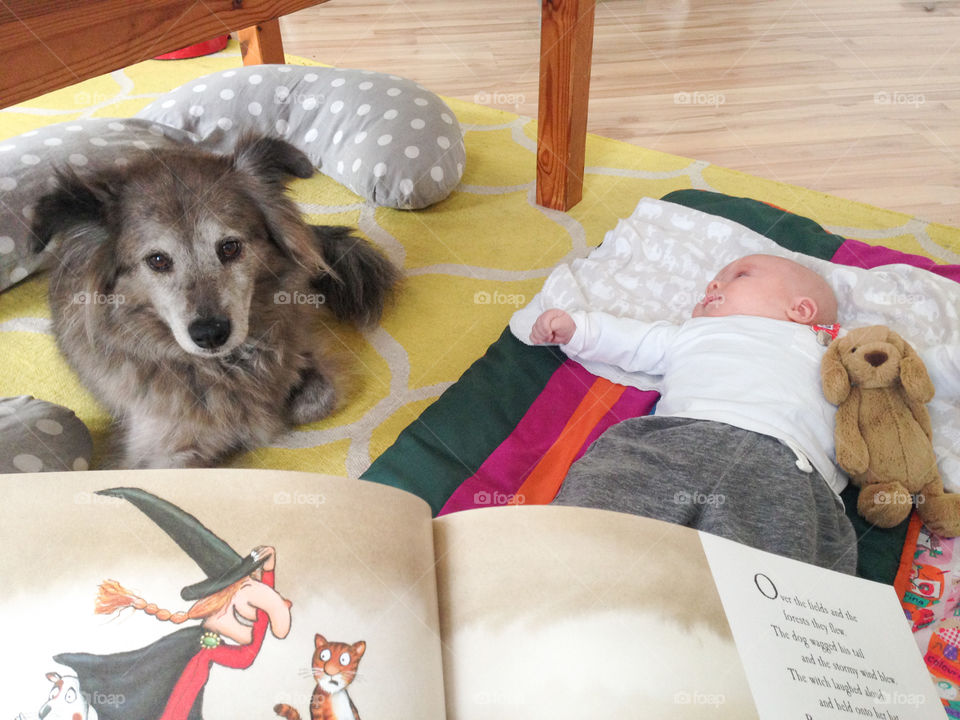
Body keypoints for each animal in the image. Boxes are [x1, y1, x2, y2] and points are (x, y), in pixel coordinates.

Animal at [31, 136, 398, 470]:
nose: (210, 334)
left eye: (230, 247)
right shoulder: (157, 455)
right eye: (158, 260)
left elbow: (315, 401)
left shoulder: (301, 350)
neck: (223, 367)